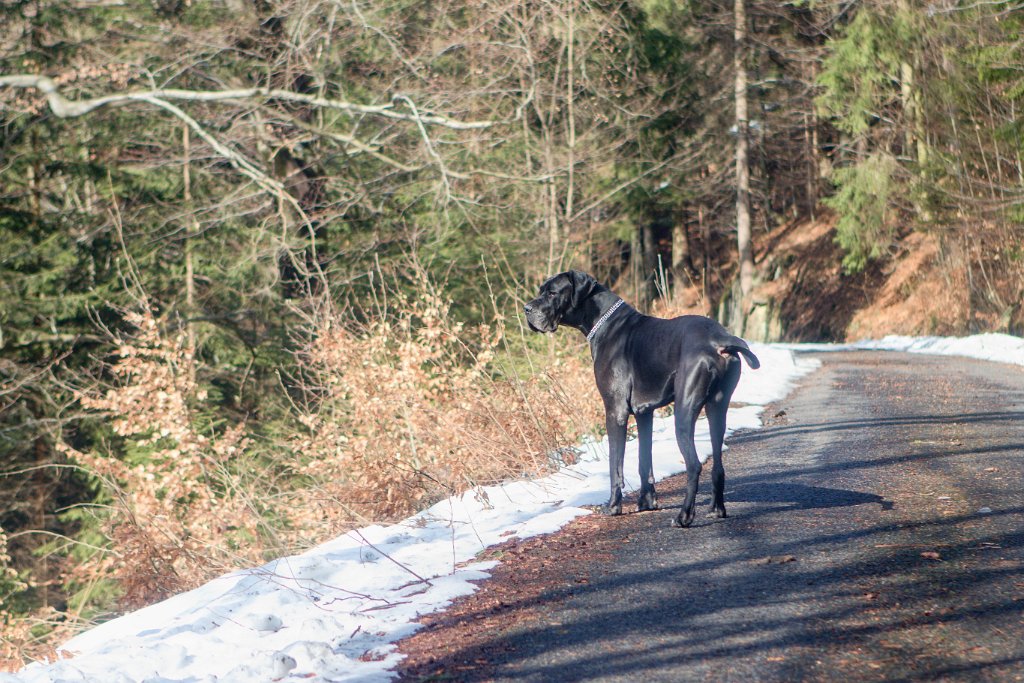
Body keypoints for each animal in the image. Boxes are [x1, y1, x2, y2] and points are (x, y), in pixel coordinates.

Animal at [528, 270, 761, 528]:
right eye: (540, 290)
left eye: (552, 293)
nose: (527, 309)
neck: (605, 323)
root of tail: (720, 340)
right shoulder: (644, 413)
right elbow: (643, 461)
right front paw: (647, 502)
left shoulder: (615, 411)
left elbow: (615, 465)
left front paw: (613, 506)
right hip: (717, 409)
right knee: (718, 465)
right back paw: (717, 509)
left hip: (684, 410)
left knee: (694, 465)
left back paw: (684, 516)